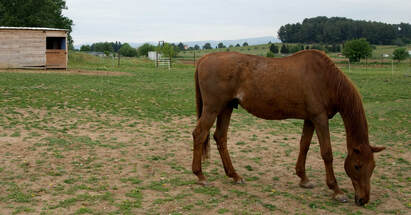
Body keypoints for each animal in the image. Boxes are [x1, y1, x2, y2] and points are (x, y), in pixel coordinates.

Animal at [193, 49, 386, 206]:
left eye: (373, 167)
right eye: (357, 166)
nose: (363, 200)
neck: (325, 79)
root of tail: (204, 59)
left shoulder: (310, 119)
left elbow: (304, 146)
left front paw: (304, 179)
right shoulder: (320, 118)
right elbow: (327, 153)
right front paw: (336, 191)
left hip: (226, 107)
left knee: (220, 137)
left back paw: (234, 175)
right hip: (213, 108)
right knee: (200, 134)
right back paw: (200, 176)